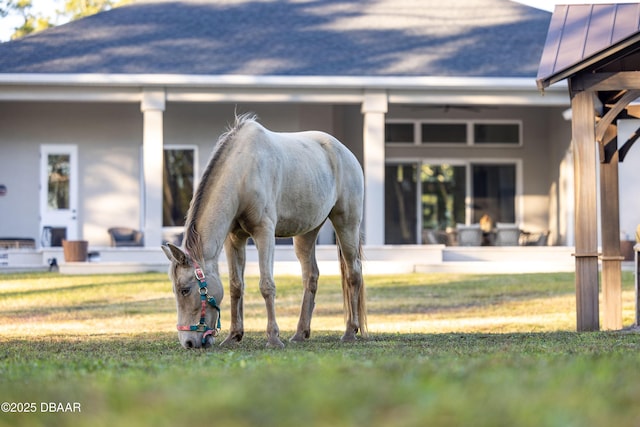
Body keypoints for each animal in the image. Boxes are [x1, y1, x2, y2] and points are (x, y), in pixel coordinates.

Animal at [160, 115, 368, 350]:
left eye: (185, 290)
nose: (188, 342)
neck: (243, 173)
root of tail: (346, 152)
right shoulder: (234, 239)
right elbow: (236, 286)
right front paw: (234, 336)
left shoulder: (264, 233)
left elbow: (266, 285)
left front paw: (273, 338)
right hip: (306, 232)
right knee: (310, 276)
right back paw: (300, 333)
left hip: (346, 223)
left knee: (353, 273)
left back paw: (350, 331)